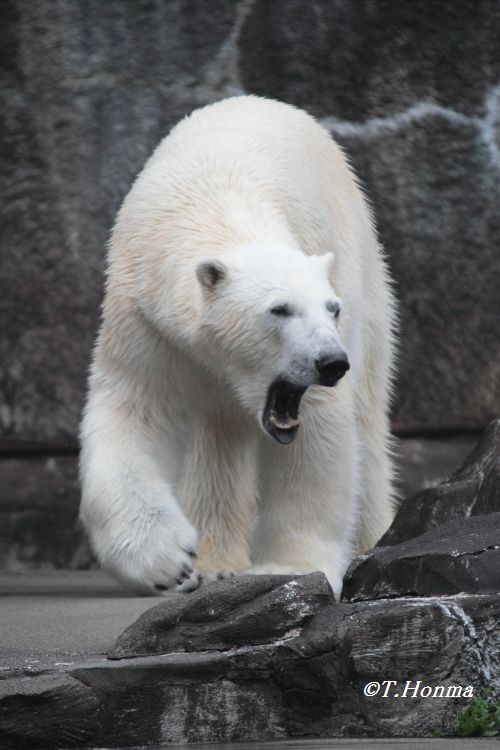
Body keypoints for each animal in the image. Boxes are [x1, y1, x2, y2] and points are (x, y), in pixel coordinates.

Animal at [80, 95, 396, 600]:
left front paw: (285, 568)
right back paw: (212, 564)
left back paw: (372, 539)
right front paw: (169, 561)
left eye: (331, 309)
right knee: (216, 436)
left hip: (362, 260)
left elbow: (319, 435)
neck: (215, 206)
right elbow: (137, 411)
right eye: (280, 309)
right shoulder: (149, 322)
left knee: (366, 415)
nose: (330, 362)